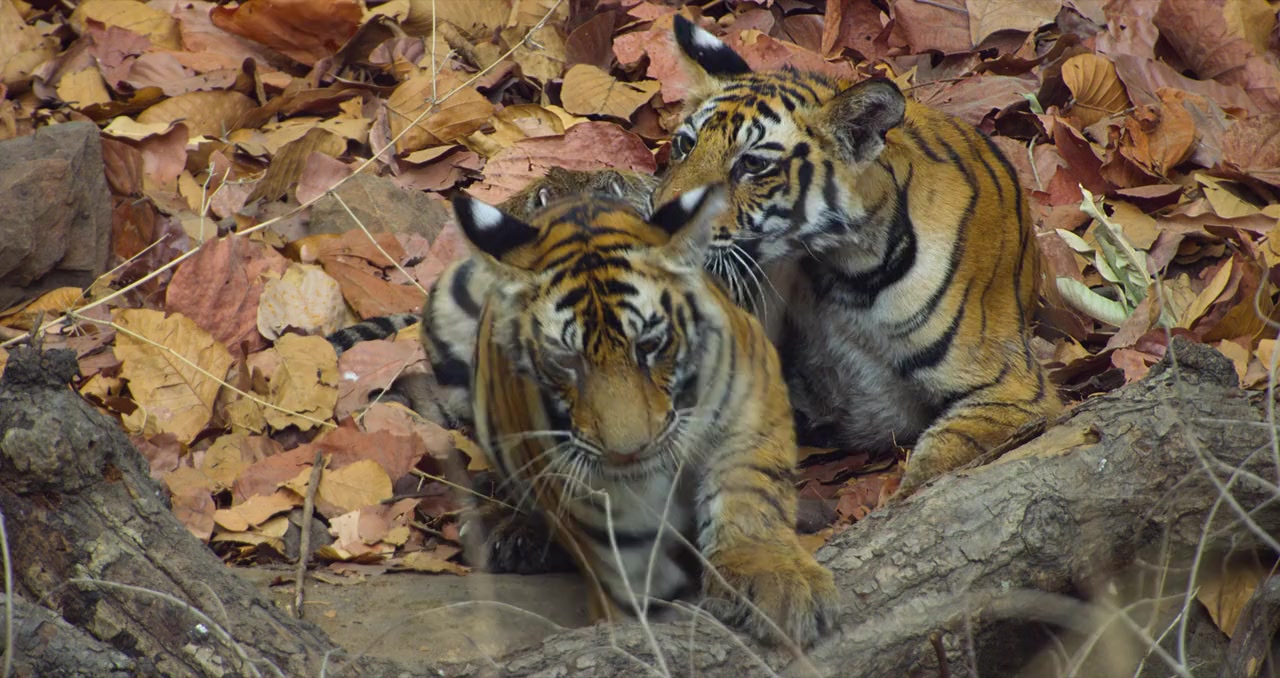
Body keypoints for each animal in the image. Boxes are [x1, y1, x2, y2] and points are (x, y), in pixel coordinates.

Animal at [447, 185, 837, 647]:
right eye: (566, 361)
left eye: (649, 345)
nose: (628, 452)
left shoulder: (750, 391)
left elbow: (749, 489)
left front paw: (777, 580)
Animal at [657, 15, 1061, 494]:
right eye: (685, 144)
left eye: (753, 165)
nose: (661, 219)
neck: (836, 266)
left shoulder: (1011, 389)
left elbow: (936, 463)